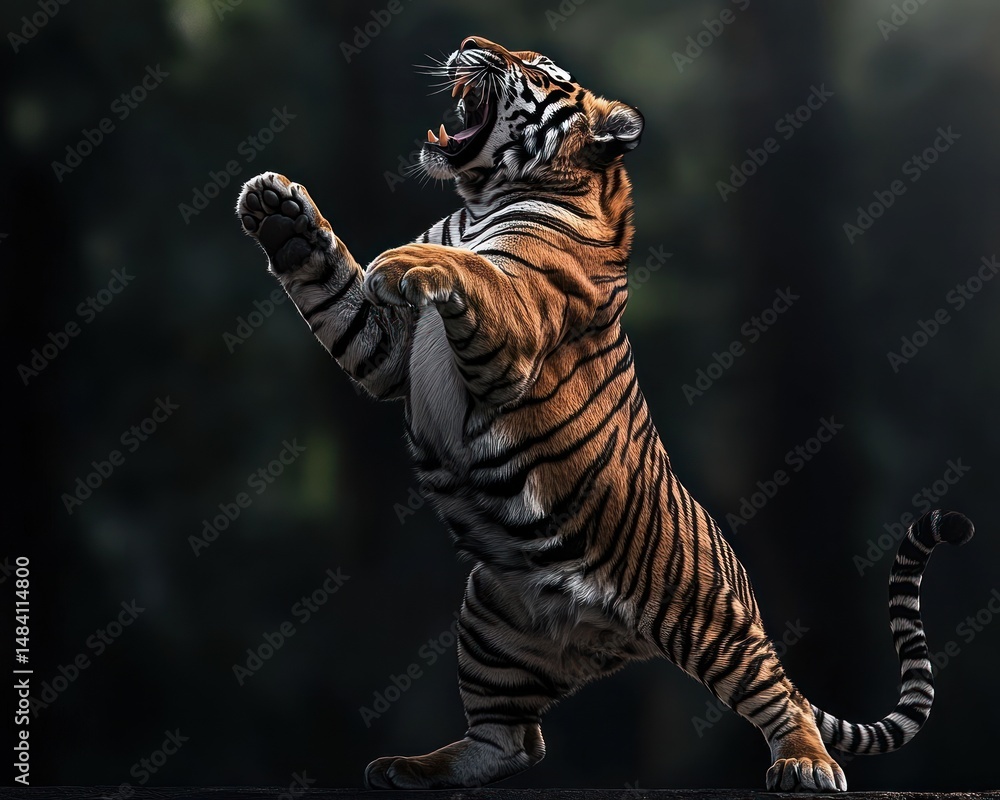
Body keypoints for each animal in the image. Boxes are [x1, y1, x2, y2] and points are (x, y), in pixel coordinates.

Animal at [234, 35, 973, 792]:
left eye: (533, 68)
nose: (469, 44)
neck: (483, 197)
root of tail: (611, 637)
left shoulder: (518, 320)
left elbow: (474, 271)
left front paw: (404, 257)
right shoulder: (390, 354)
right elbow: (340, 294)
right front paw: (281, 215)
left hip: (712, 627)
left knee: (781, 697)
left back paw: (805, 765)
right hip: (490, 617)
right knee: (512, 741)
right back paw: (412, 767)